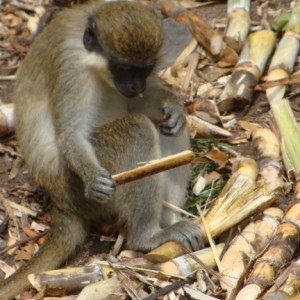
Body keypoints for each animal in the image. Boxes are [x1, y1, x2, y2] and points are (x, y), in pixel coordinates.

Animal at [0, 1, 203, 298]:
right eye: (123, 67)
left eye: (144, 69)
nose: (136, 85)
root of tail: (61, 201)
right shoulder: (71, 68)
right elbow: (72, 135)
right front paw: (92, 177)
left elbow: (141, 106)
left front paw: (172, 104)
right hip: (76, 186)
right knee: (138, 130)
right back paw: (147, 237)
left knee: (167, 132)